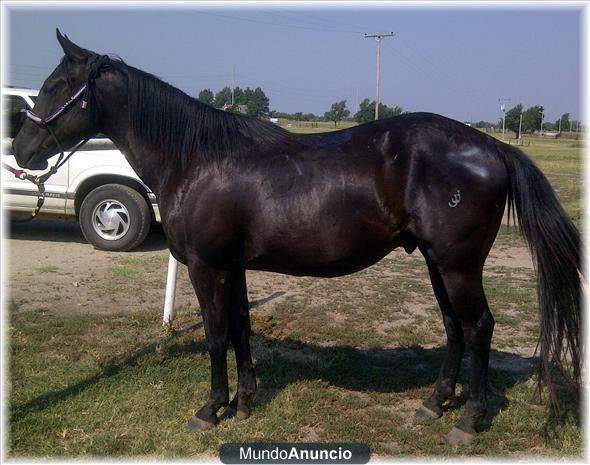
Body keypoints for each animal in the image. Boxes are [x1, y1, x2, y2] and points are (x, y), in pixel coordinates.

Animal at [13, 30, 584, 444]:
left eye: (58, 86)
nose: (22, 149)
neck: (197, 159)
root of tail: (492, 147)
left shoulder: (206, 266)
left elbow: (216, 335)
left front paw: (211, 409)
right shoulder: (233, 267)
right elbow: (241, 330)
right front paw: (244, 403)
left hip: (458, 264)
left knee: (480, 327)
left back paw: (468, 421)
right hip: (435, 261)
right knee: (454, 327)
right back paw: (435, 403)